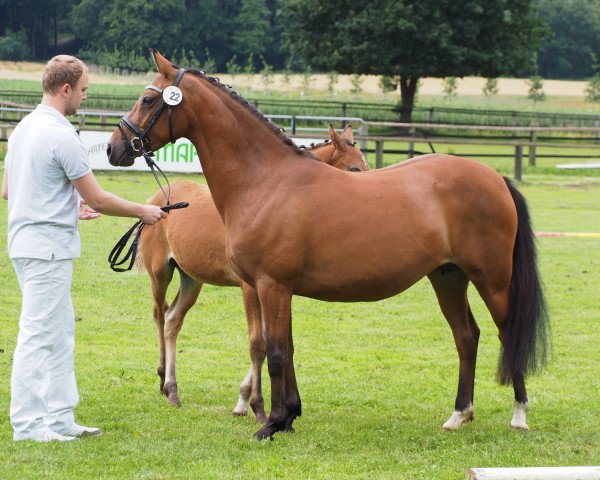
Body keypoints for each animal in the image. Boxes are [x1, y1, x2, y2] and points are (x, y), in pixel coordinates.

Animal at [138, 125, 368, 422]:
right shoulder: (251, 287)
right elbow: (259, 343)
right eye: (354, 168)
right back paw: (161, 376)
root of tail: (159, 198)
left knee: (172, 319)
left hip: (192, 279)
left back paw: (172, 389)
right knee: (158, 313)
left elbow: (268, 341)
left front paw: (243, 400)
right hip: (160, 273)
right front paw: (253, 405)